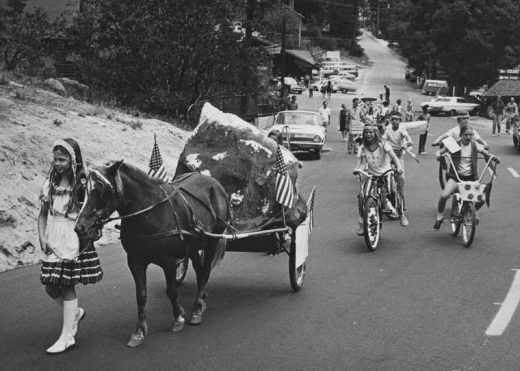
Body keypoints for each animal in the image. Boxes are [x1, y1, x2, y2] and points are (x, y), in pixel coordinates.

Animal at [74, 161, 229, 348]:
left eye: (101, 189)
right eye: (82, 191)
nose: (80, 227)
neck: (149, 214)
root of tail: (215, 183)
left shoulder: (169, 262)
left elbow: (171, 291)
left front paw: (178, 318)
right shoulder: (135, 263)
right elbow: (141, 296)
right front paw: (139, 331)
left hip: (212, 240)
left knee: (205, 272)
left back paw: (197, 309)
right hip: (192, 247)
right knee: (200, 272)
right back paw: (201, 301)